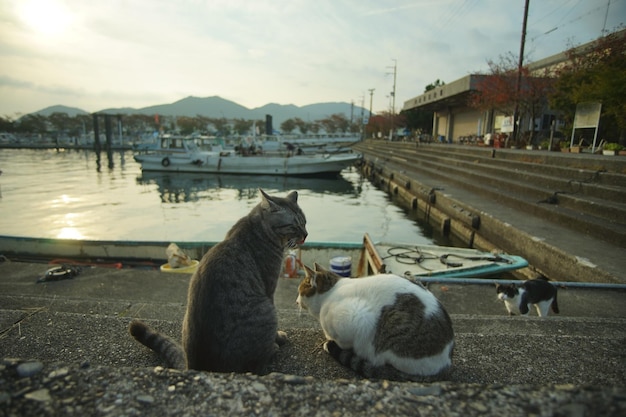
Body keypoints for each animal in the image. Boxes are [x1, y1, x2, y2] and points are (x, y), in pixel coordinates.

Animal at [130, 188, 308, 374]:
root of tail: (198, 367)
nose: (305, 235)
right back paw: (272, 349)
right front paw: (278, 338)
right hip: (267, 310)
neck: (258, 228)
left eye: (305, 223)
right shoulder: (269, 289)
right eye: (294, 226)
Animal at [296, 264, 454, 380]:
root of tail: (446, 363)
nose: (296, 301)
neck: (329, 294)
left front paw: (331, 343)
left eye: (299, 291)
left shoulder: (356, 315)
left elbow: (343, 342)